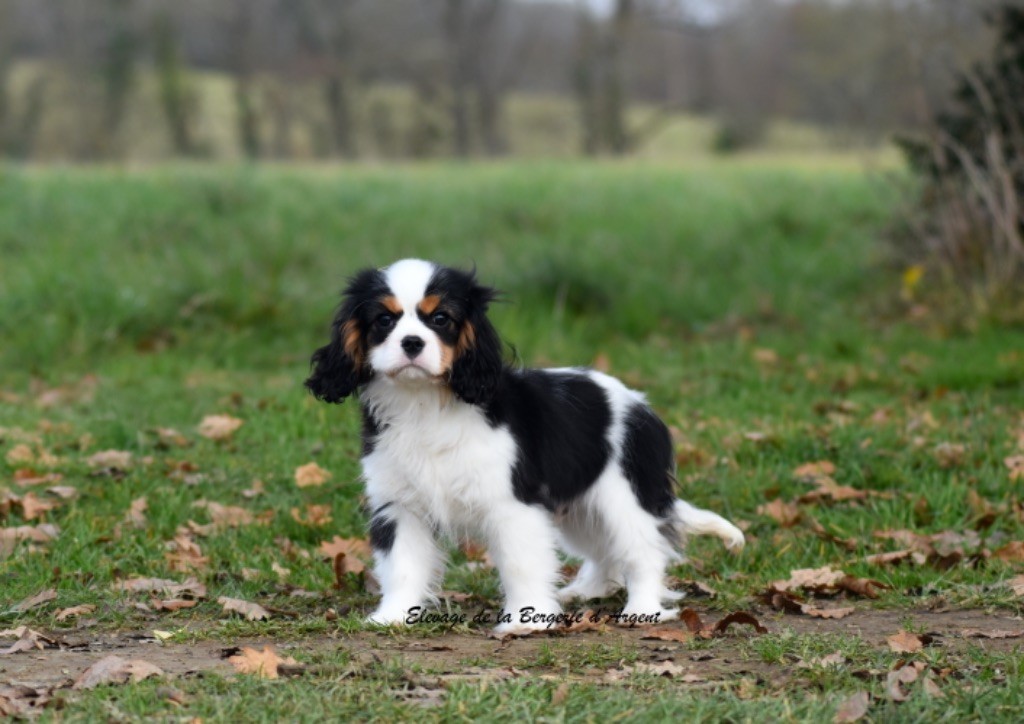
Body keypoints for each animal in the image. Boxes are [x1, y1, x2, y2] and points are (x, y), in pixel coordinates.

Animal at [305, 260, 745, 634]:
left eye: (441, 319)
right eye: (384, 320)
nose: (412, 342)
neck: (424, 403)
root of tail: (642, 405)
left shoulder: (512, 506)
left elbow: (521, 564)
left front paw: (525, 620)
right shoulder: (399, 506)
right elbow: (401, 564)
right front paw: (393, 616)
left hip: (624, 497)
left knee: (644, 552)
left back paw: (643, 608)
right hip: (580, 509)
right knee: (603, 549)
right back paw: (588, 590)